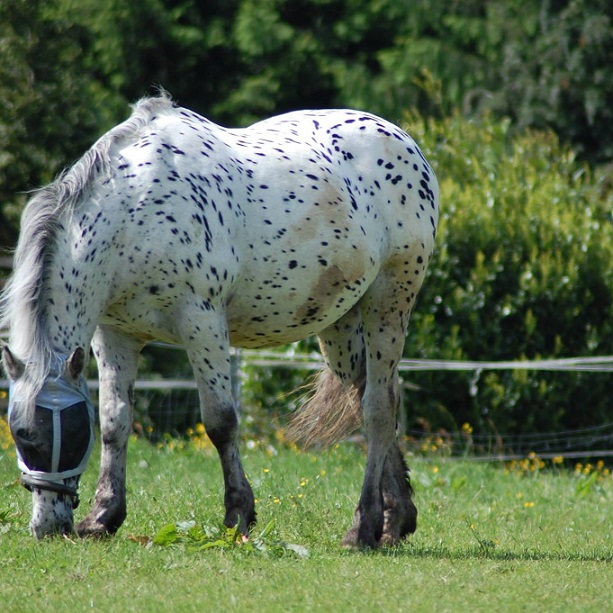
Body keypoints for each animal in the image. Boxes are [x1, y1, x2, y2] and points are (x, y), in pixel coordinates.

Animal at [1, 93, 440, 548]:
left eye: (62, 434)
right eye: (19, 433)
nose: (48, 527)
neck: (134, 209)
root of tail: (404, 140)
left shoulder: (202, 322)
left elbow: (220, 421)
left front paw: (238, 514)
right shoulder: (116, 334)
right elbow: (114, 420)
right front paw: (103, 516)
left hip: (389, 302)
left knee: (378, 408)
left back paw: (364, 526)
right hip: (339, 323)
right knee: (366, 396)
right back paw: (396, 520)